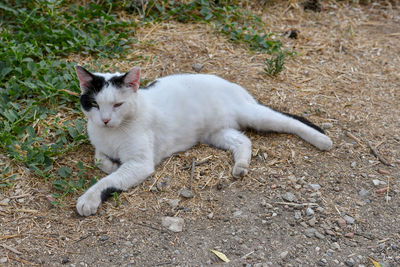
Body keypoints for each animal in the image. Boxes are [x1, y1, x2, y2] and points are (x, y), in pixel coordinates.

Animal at [74, 66, 332, 218]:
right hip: (216, 133)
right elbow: (100, 160)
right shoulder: (101, 146)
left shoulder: (140, 164)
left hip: (254, 115)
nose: (105, 119)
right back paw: (241, 166)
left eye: (118, 104)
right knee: (243, 141)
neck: (112, 133)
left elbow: (108, 180)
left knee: (290, 121)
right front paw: (111, 164)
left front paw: (89, 198)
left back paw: (322, 140)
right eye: (94, 104)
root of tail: (233, 85)